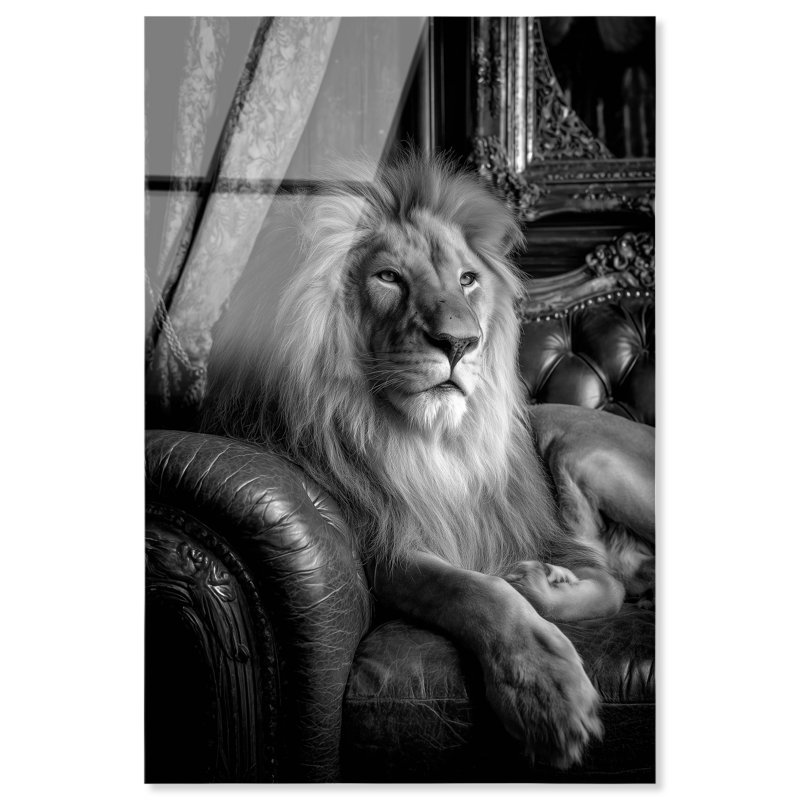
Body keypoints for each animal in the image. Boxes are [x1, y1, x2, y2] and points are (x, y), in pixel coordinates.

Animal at [202, 154, 655, 770]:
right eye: (389, 278)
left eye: (467, 280)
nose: (461, 343)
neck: (426, 442)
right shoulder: (384, 542)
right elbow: (475, 590)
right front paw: (547, 693)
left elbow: (603, 583)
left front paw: (544, 585)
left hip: (570, 438)